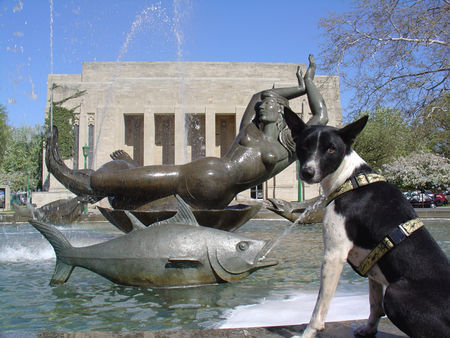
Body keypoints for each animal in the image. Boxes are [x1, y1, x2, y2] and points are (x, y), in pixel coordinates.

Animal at [284, 109, 450, 336]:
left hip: (395, 294)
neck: (350, 178)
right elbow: (374, 304)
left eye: (331, 148)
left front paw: (308, 333)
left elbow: (319, 308)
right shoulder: (371, 263)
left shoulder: (334, 254)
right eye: (304, 145)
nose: (307, 172)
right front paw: (369, 329)